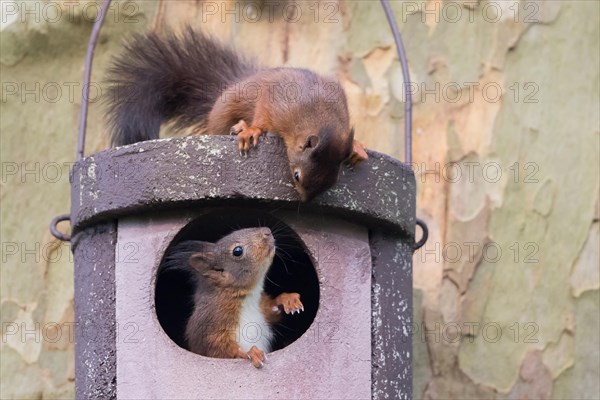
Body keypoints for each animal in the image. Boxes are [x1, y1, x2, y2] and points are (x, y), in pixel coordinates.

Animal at [105, 27, 368, 202]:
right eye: (296, 176)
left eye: (333, 182)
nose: (304, 201)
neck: (318, 115)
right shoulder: (274, 101)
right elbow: (261, 116)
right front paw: (252, 130)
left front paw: (356, 146)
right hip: (225, 109)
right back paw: (240, 127)